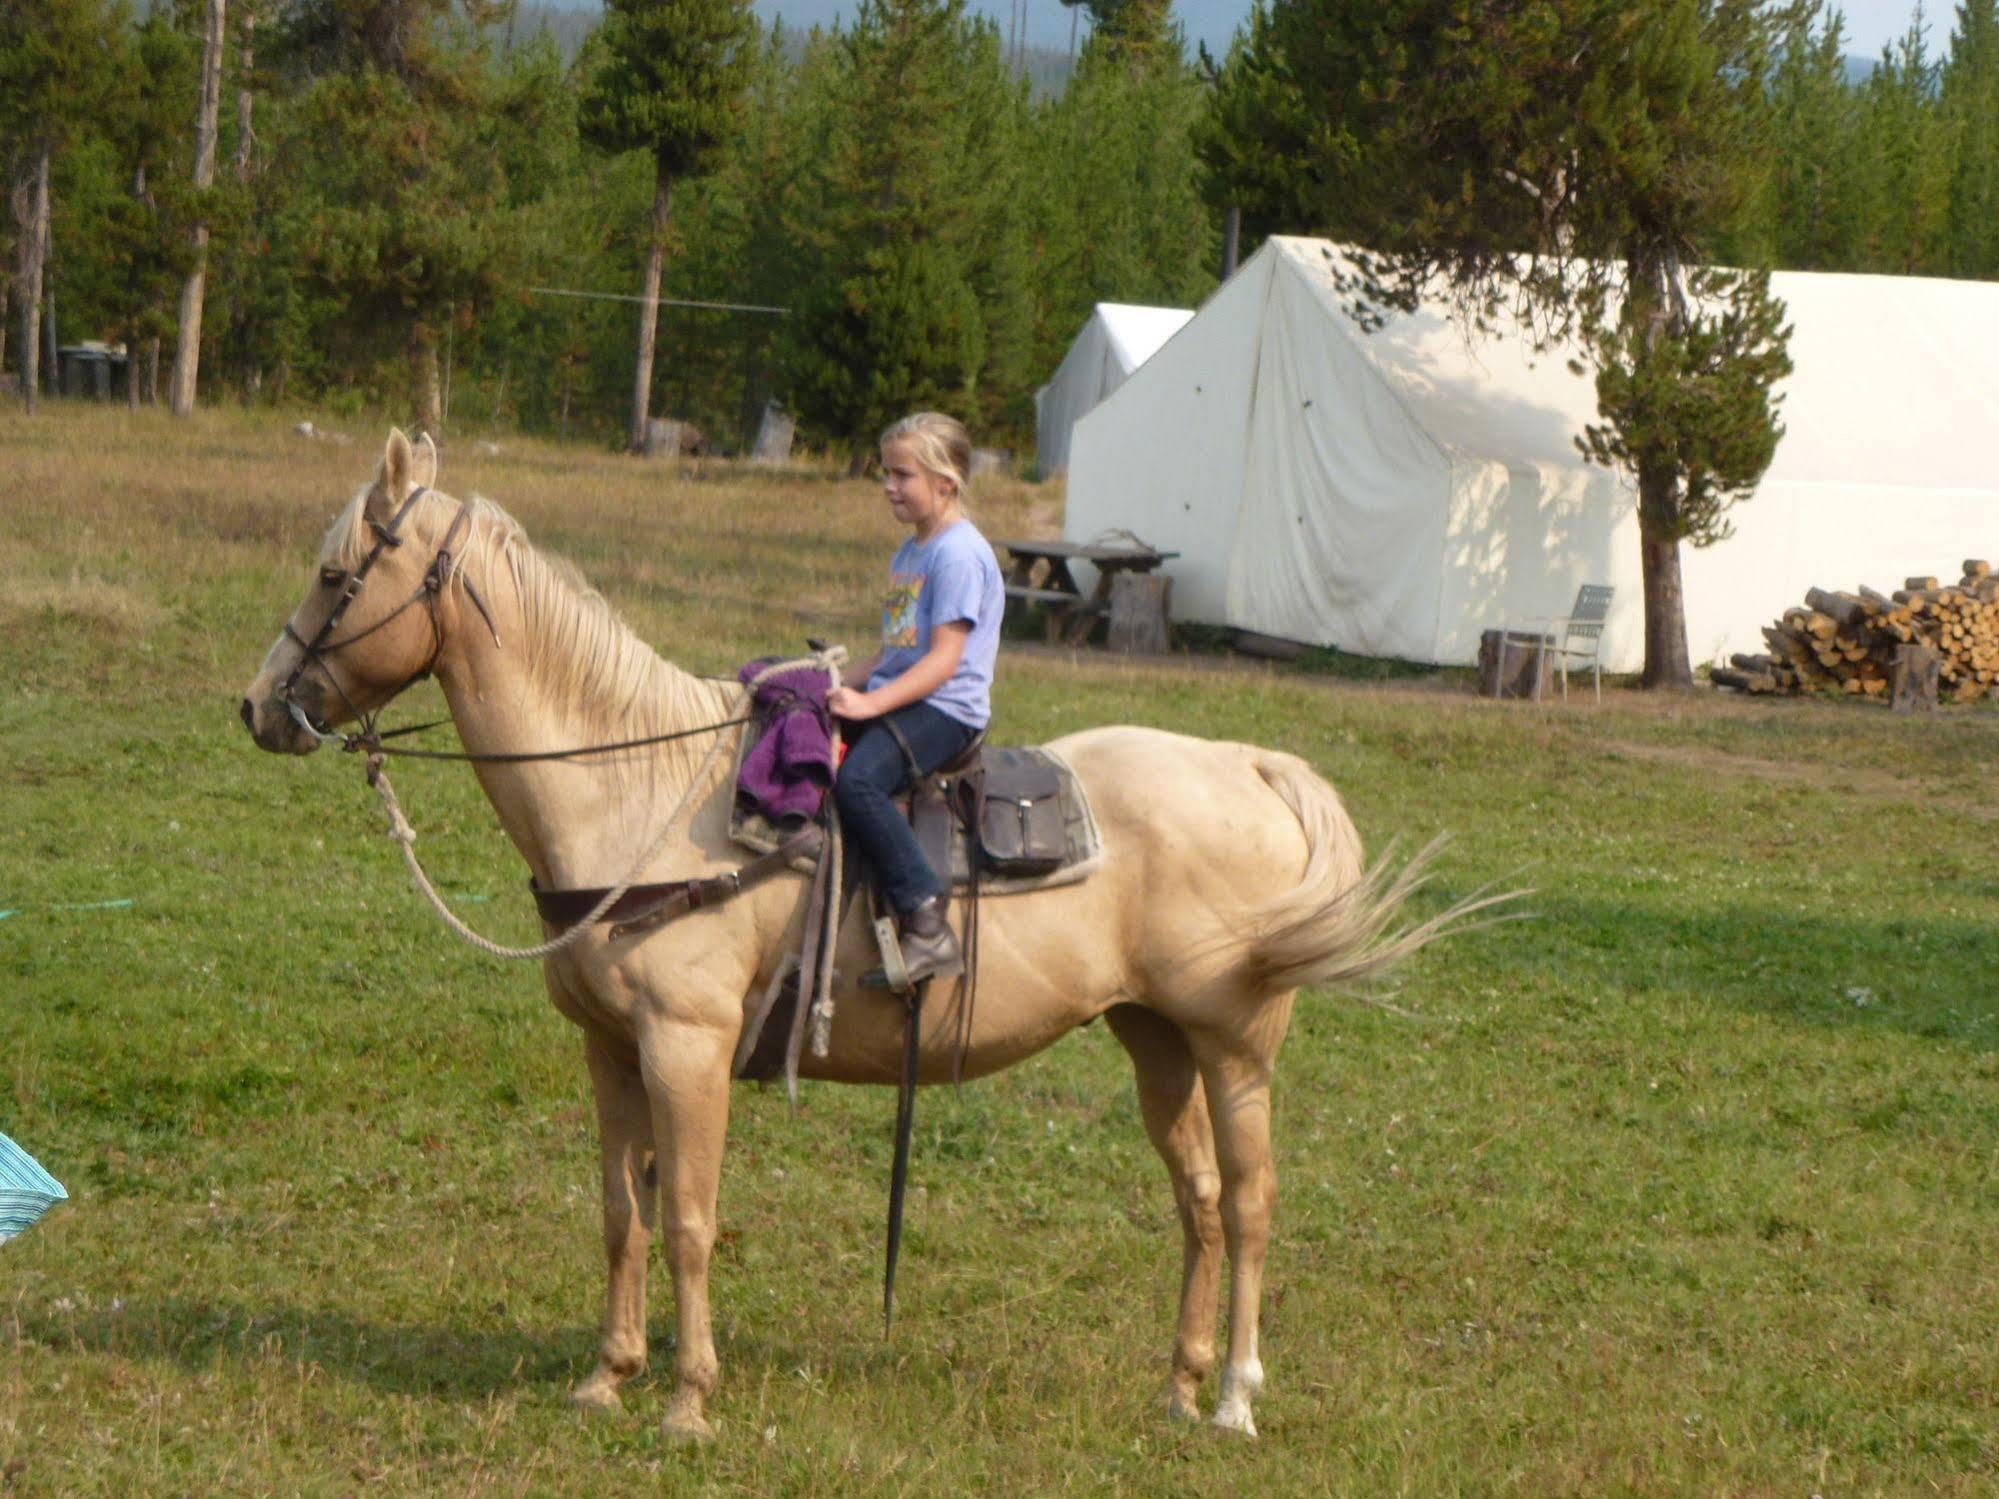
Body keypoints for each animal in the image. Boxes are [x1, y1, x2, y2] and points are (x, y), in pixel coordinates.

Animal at [237, 431, 1487, 1447]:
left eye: (337, 573)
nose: (256, 706)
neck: (634, 787)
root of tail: (1251, 765)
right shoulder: (610, 1047)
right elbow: (621, 1213)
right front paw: (606, 1376)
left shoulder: (688, 1044)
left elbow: (688, 1218)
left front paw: (687, 1398)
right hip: (1154, 1037)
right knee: (1204, 1202)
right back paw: (1178, 1388)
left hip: (1234, 1042)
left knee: (1256, 1200)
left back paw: (1232, 1394)